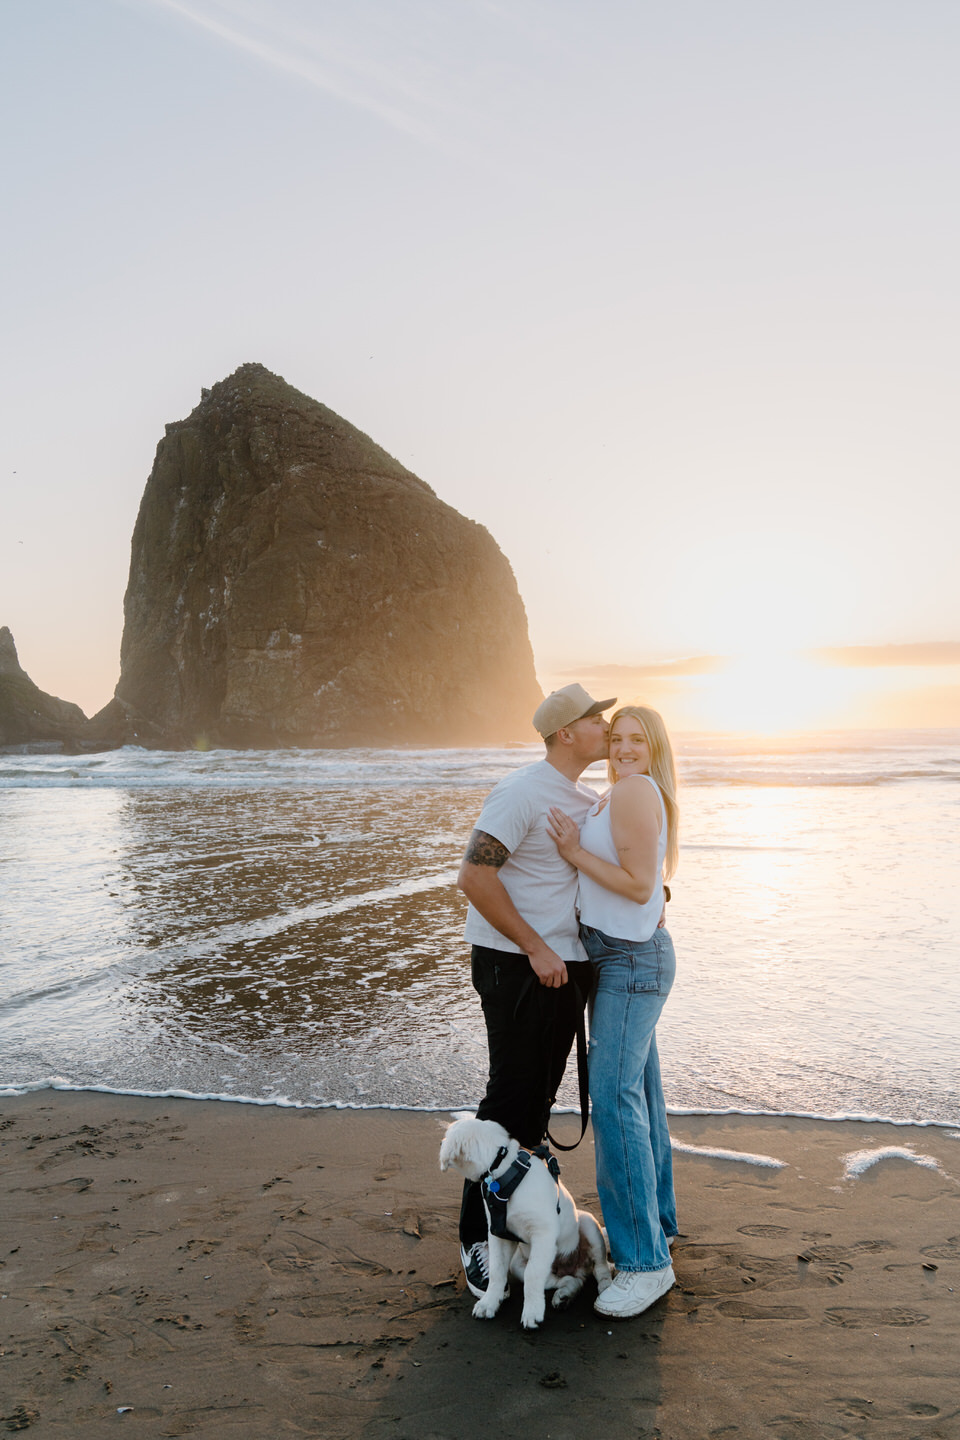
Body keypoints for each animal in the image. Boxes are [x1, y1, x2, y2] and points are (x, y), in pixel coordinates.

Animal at [440, 1117, 613, 1330]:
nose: (440, 1144)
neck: (504, 1170)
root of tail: (579, 1266)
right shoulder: (498, 1233)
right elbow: (497, 1271)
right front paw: (489, 1302)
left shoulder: (543, 1234)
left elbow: (533, 1274)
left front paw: (531, 1313)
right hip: (521, 1266)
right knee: (569, 1279)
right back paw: (565, 1295)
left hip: (589, 1225)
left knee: (601, 1267)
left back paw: (605, 1288)